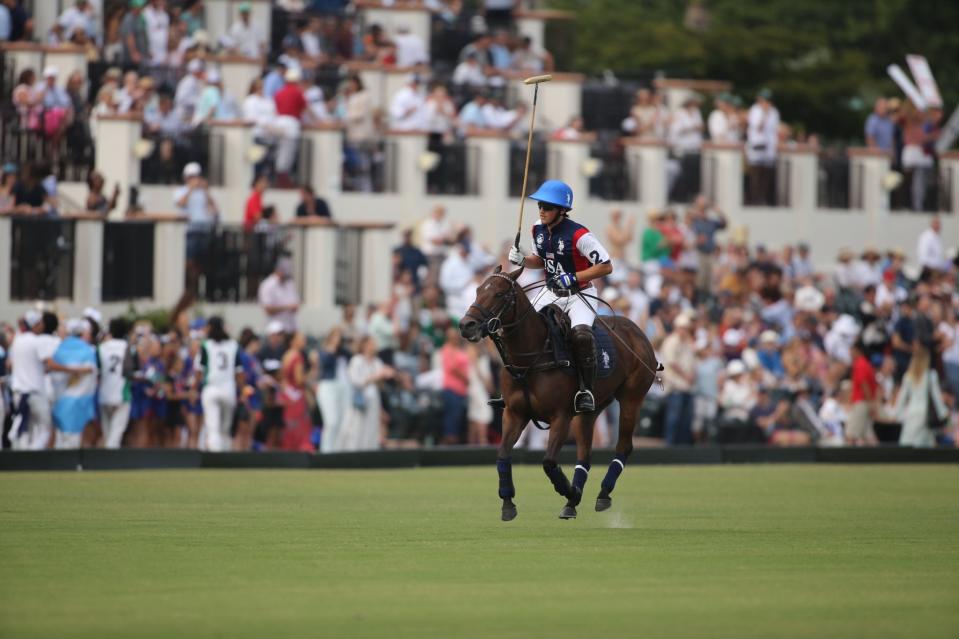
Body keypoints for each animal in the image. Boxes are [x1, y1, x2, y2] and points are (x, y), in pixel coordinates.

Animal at [460, 264, 660, 520]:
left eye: (500, 294)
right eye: (477, 290)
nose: (466, 325)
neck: (530, 357)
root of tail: (637, 330)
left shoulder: (561, 416)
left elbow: (548, 462)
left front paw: (570, 491)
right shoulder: (514, 413)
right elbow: (503, 455)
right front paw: (508, 503)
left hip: (632, 398)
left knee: (624, 446)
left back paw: (602, 494)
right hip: (591, 409)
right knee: (585, 452)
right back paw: (572, 504)